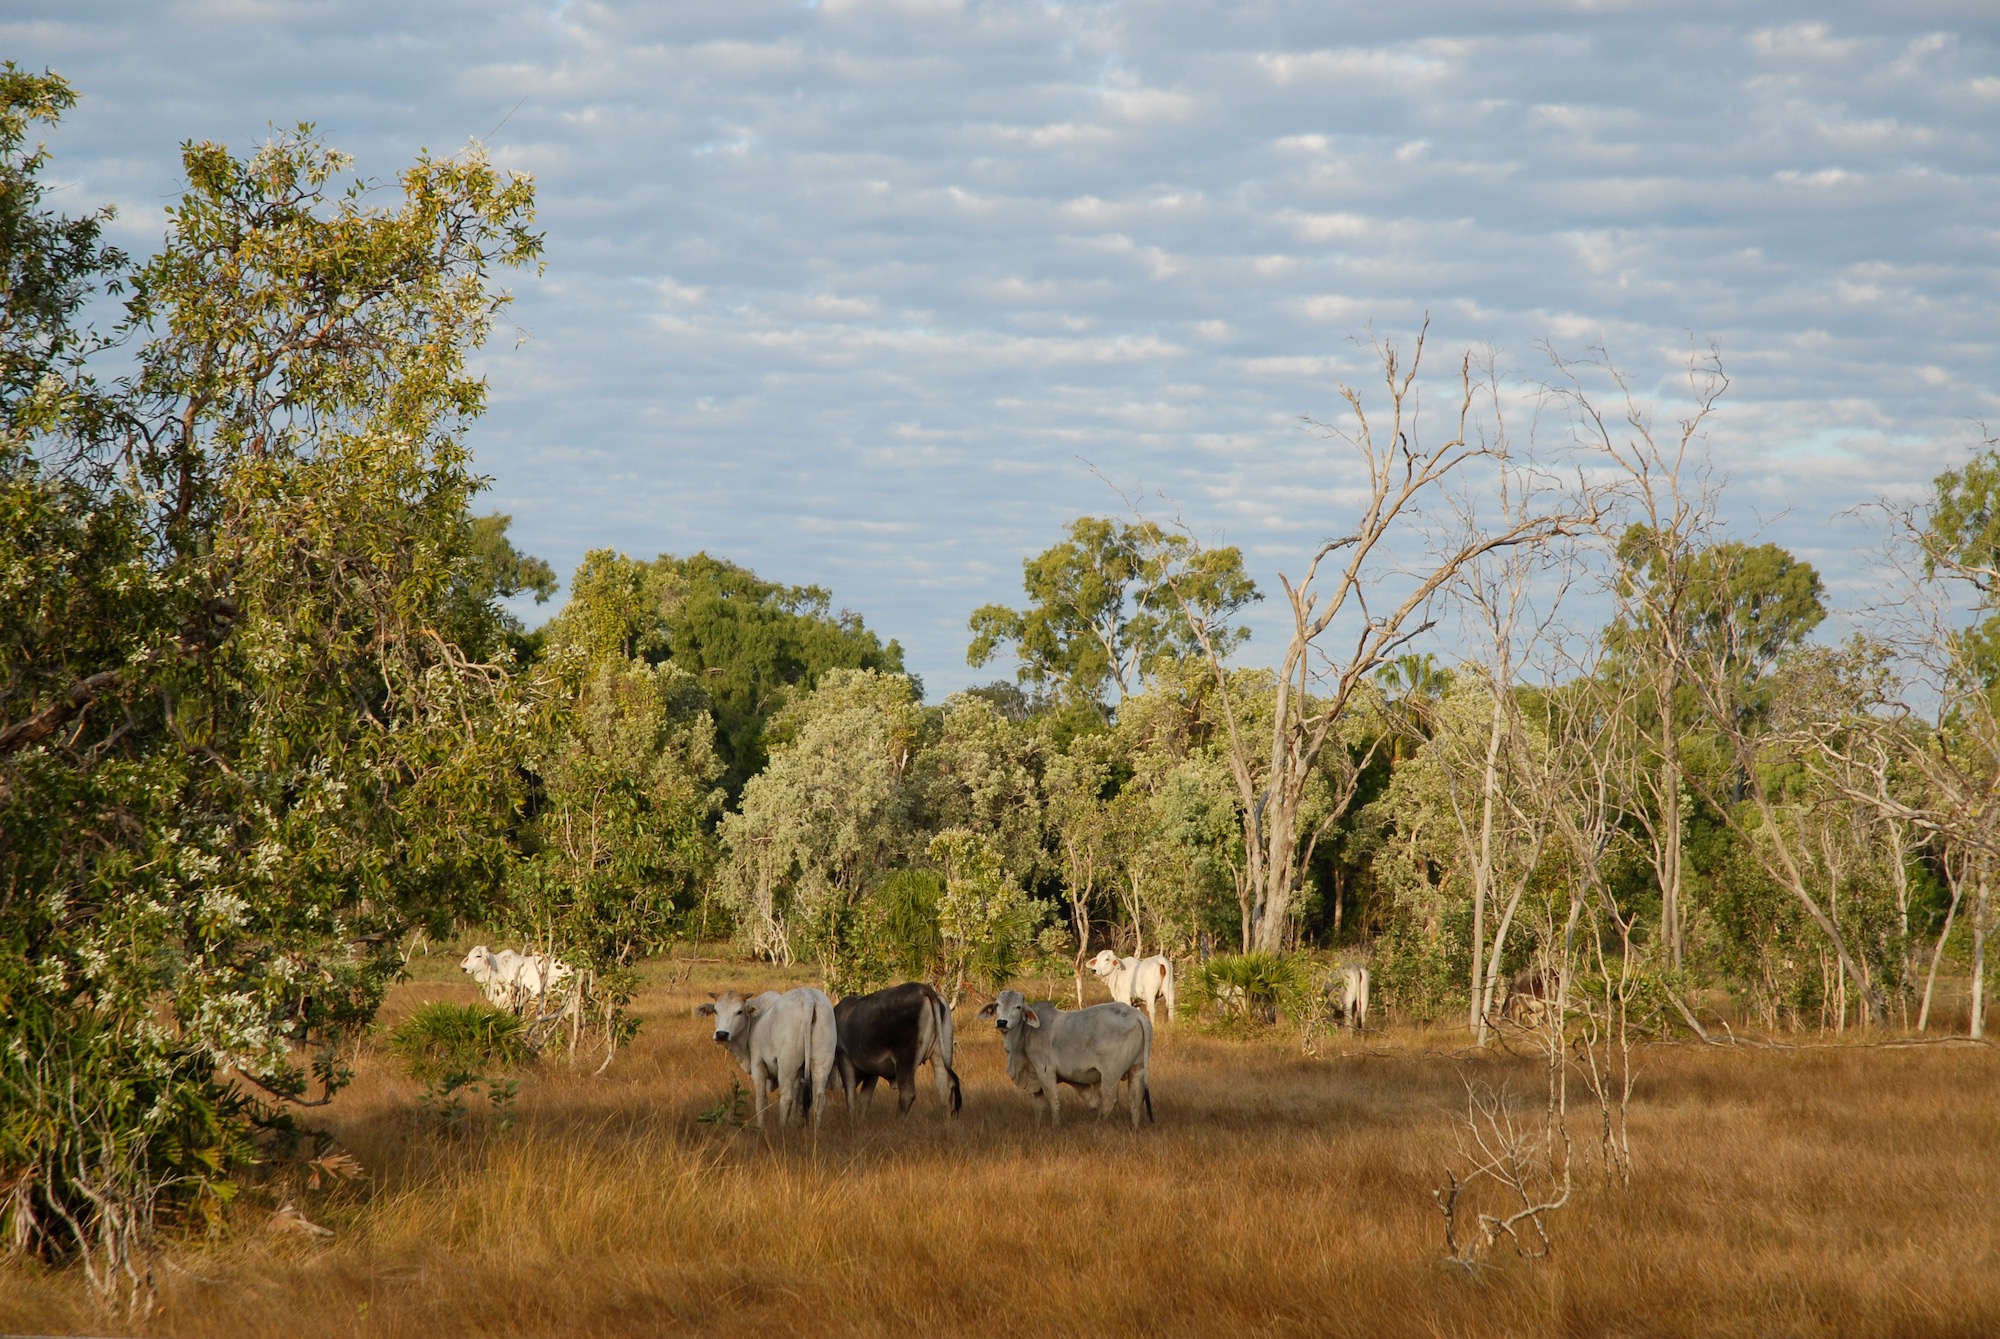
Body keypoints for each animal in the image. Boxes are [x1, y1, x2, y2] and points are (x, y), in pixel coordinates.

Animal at [700, 987, 840, 1135]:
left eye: (739, 1011)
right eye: (716, 1010)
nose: (721, 1034)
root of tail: (808, 996)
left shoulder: (758, 1065)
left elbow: (761, 1100)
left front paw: (760, 1127)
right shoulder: (798, 1073)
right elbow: (797, 1097)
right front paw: (792, 1123)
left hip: (785, 1067)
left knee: (786, 1098)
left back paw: (781, 1129)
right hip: (821, 1063)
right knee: (819, 1098)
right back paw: (816, 1131)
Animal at [832, 979, 964, 1119]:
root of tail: (925, 990)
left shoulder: (843, 1056)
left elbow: (851, 1097)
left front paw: (852, 1120)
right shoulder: (872, 1070)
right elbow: (865, 1099)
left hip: (905, 1060)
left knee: (907, 1093)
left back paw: (898, 1121)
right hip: (939, 1055)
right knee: (945, 1089)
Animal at [972, 991, 1160, 1127]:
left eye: (1018, 1007)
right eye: (998, 1004)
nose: (1002, 1022)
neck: (1026, 1032)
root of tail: (1137, 1015)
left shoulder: (1045, 1071)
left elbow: (1052, 1100)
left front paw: (1055, 1127)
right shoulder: (1034, 1075)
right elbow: (1038, 1106)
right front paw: (1038, 1127)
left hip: (1111, 1073)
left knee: (1109, 1100)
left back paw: (1097, 1128)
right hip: (1137, 1068)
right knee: (1135, 1099)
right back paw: (1134, 1128)